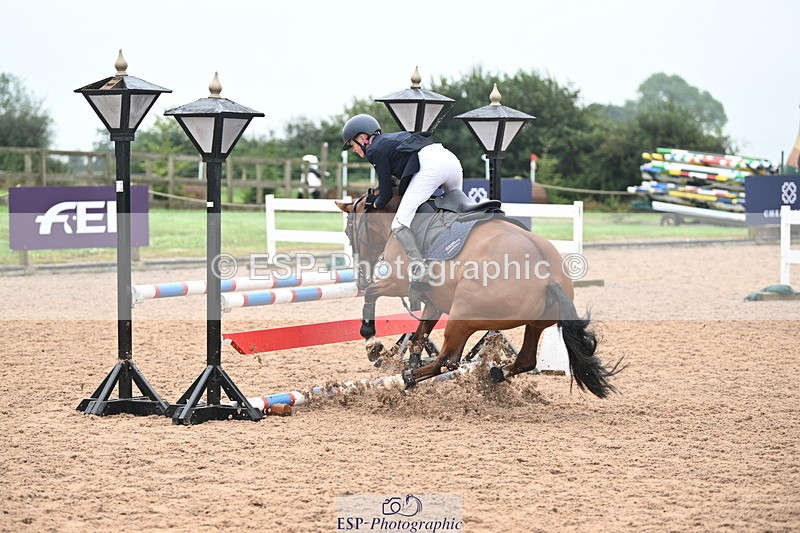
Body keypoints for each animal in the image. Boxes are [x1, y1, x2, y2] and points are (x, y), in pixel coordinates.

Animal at [335, 189, 621, 398]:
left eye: (348, 231)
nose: (360, 275)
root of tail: (549, 278)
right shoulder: (433, 302)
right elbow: (418, 337)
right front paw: (407, 357)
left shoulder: (397, 283)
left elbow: (371, 295)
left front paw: (372, 343)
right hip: (534, 323)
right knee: (525, 360)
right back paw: (494, 374)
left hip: (462, 317)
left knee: (448, 361)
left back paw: (402, 379)